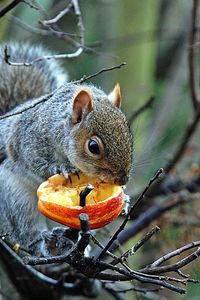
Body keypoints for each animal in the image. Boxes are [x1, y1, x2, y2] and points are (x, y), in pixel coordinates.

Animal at [0, 42, 133, 258]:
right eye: (93, 147)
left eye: (128, 134)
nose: (122, 181)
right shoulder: (26, 140)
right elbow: (33, 162)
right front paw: (60, 169)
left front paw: (125, 201)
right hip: (13, 198)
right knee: (26, 233)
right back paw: (49, 244)